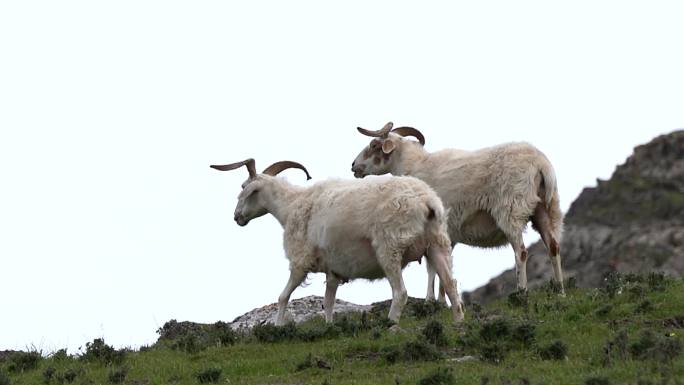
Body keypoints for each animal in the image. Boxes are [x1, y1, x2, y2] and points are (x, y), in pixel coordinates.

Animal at [208, 158, 464, 324]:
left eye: (245, 188)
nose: (237, 217)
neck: (290, 206)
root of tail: (427, 202)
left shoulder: (300, 262)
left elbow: (283, 296)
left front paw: (278, 327)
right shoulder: (334, 270)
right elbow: (328, 301)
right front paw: (329, 327)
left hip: (389, 247)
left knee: (400, 292)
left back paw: (389, 324)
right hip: (438, 244)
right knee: (451, 284)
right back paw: (459, 322)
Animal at [350, 121, 564, 298]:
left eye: (374, 146)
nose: (353, 166)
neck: (412, 166)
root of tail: (541, 164)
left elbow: (431, 268)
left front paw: (430, 301)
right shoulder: (448, 234)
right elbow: (442, 268)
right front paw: (441, 301)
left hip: (512, 209)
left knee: (521, 252)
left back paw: (521, 292)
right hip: (546, 209)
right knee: (553, 246)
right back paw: (560, 291)